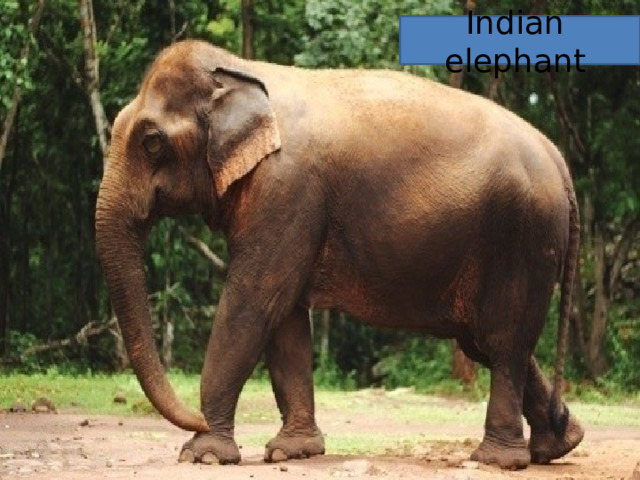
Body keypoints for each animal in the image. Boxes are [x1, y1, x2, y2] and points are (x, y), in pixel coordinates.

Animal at [95, 39, 584, 470]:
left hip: (521, 236)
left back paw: (496, 460)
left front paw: (204, 455)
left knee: (503, 341)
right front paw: (293, 452)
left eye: (152, 142)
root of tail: (560, 161)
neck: (241, 70)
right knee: (484, 340)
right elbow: (286, 318)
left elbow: (254, 302)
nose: (194, 419)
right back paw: (560, 443)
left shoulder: (287, 189)